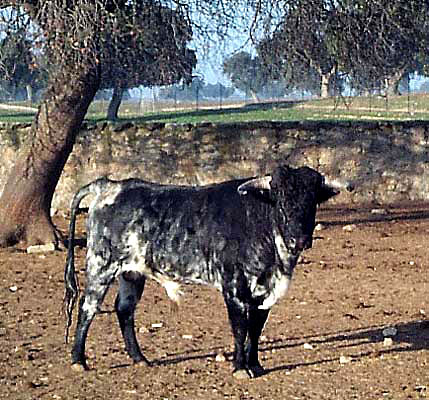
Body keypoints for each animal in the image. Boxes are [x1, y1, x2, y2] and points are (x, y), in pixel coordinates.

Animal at [63, 165, 352, 378]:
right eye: (280, 200)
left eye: (312, 202)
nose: (299, 239)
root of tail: (110, 184)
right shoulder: (234, 288)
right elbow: (240, 328)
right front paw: (240, 368)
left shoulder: (264, 294)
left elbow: (256, 329)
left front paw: (255, 365)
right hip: (101, 265)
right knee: (88, 307)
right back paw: (78, 360)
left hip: (132, 272)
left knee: (124, 309)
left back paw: (139, 358)